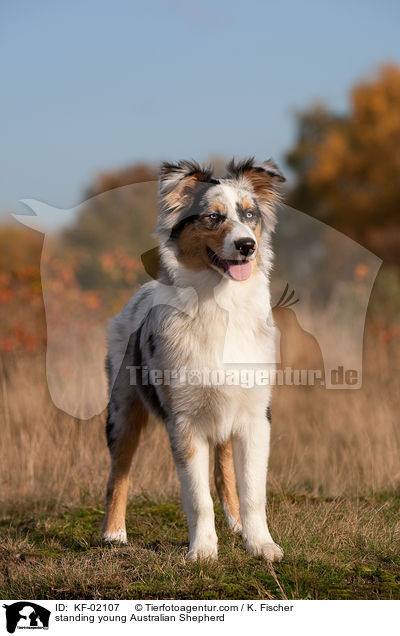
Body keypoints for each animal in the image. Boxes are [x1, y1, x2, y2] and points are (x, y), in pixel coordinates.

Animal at [102, 159, 284, 560]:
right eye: (213, 217)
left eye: (250, 215)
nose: (247, 245)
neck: (221, 303)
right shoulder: (183, 422)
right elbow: (198, 497)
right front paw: (202, 552)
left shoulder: (255, 417)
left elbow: (253, 491)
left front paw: (261, 545)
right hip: (122, 411)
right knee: (118, 473)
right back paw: (113, 534)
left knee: (224, 471)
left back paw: (236, 524)